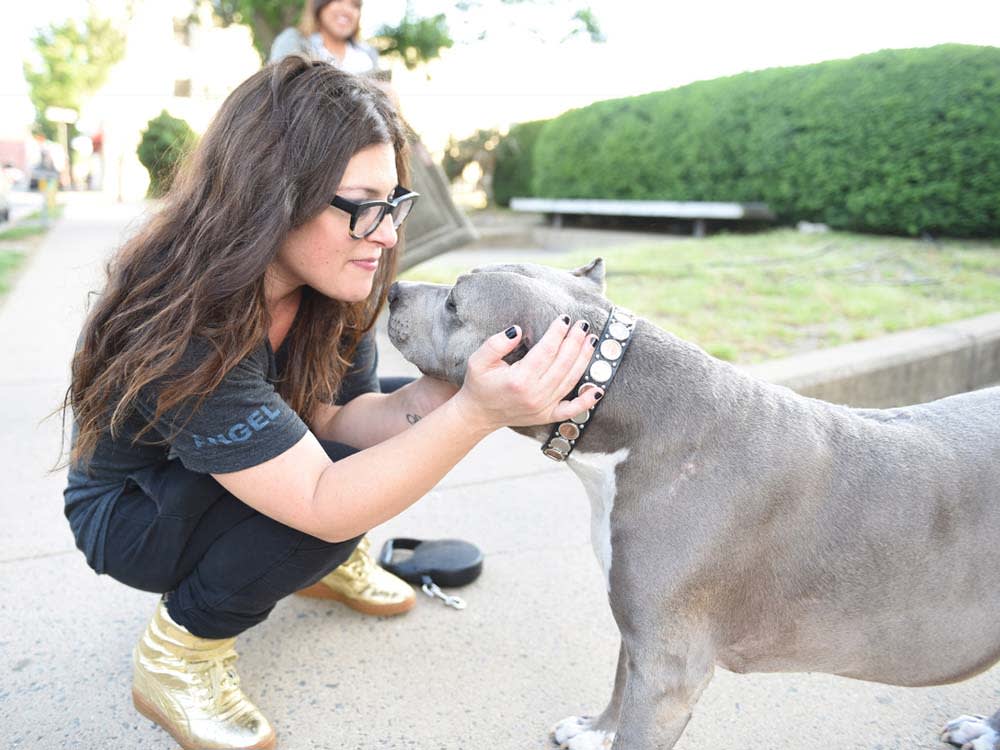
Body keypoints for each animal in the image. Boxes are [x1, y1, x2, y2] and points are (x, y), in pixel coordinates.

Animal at [384, 260, 1000, 750]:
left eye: (455, 303)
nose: (392, 288)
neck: (631, 415)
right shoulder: (641, 627)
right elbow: (620, 676)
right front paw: (594, 729)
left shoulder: (669, 671)